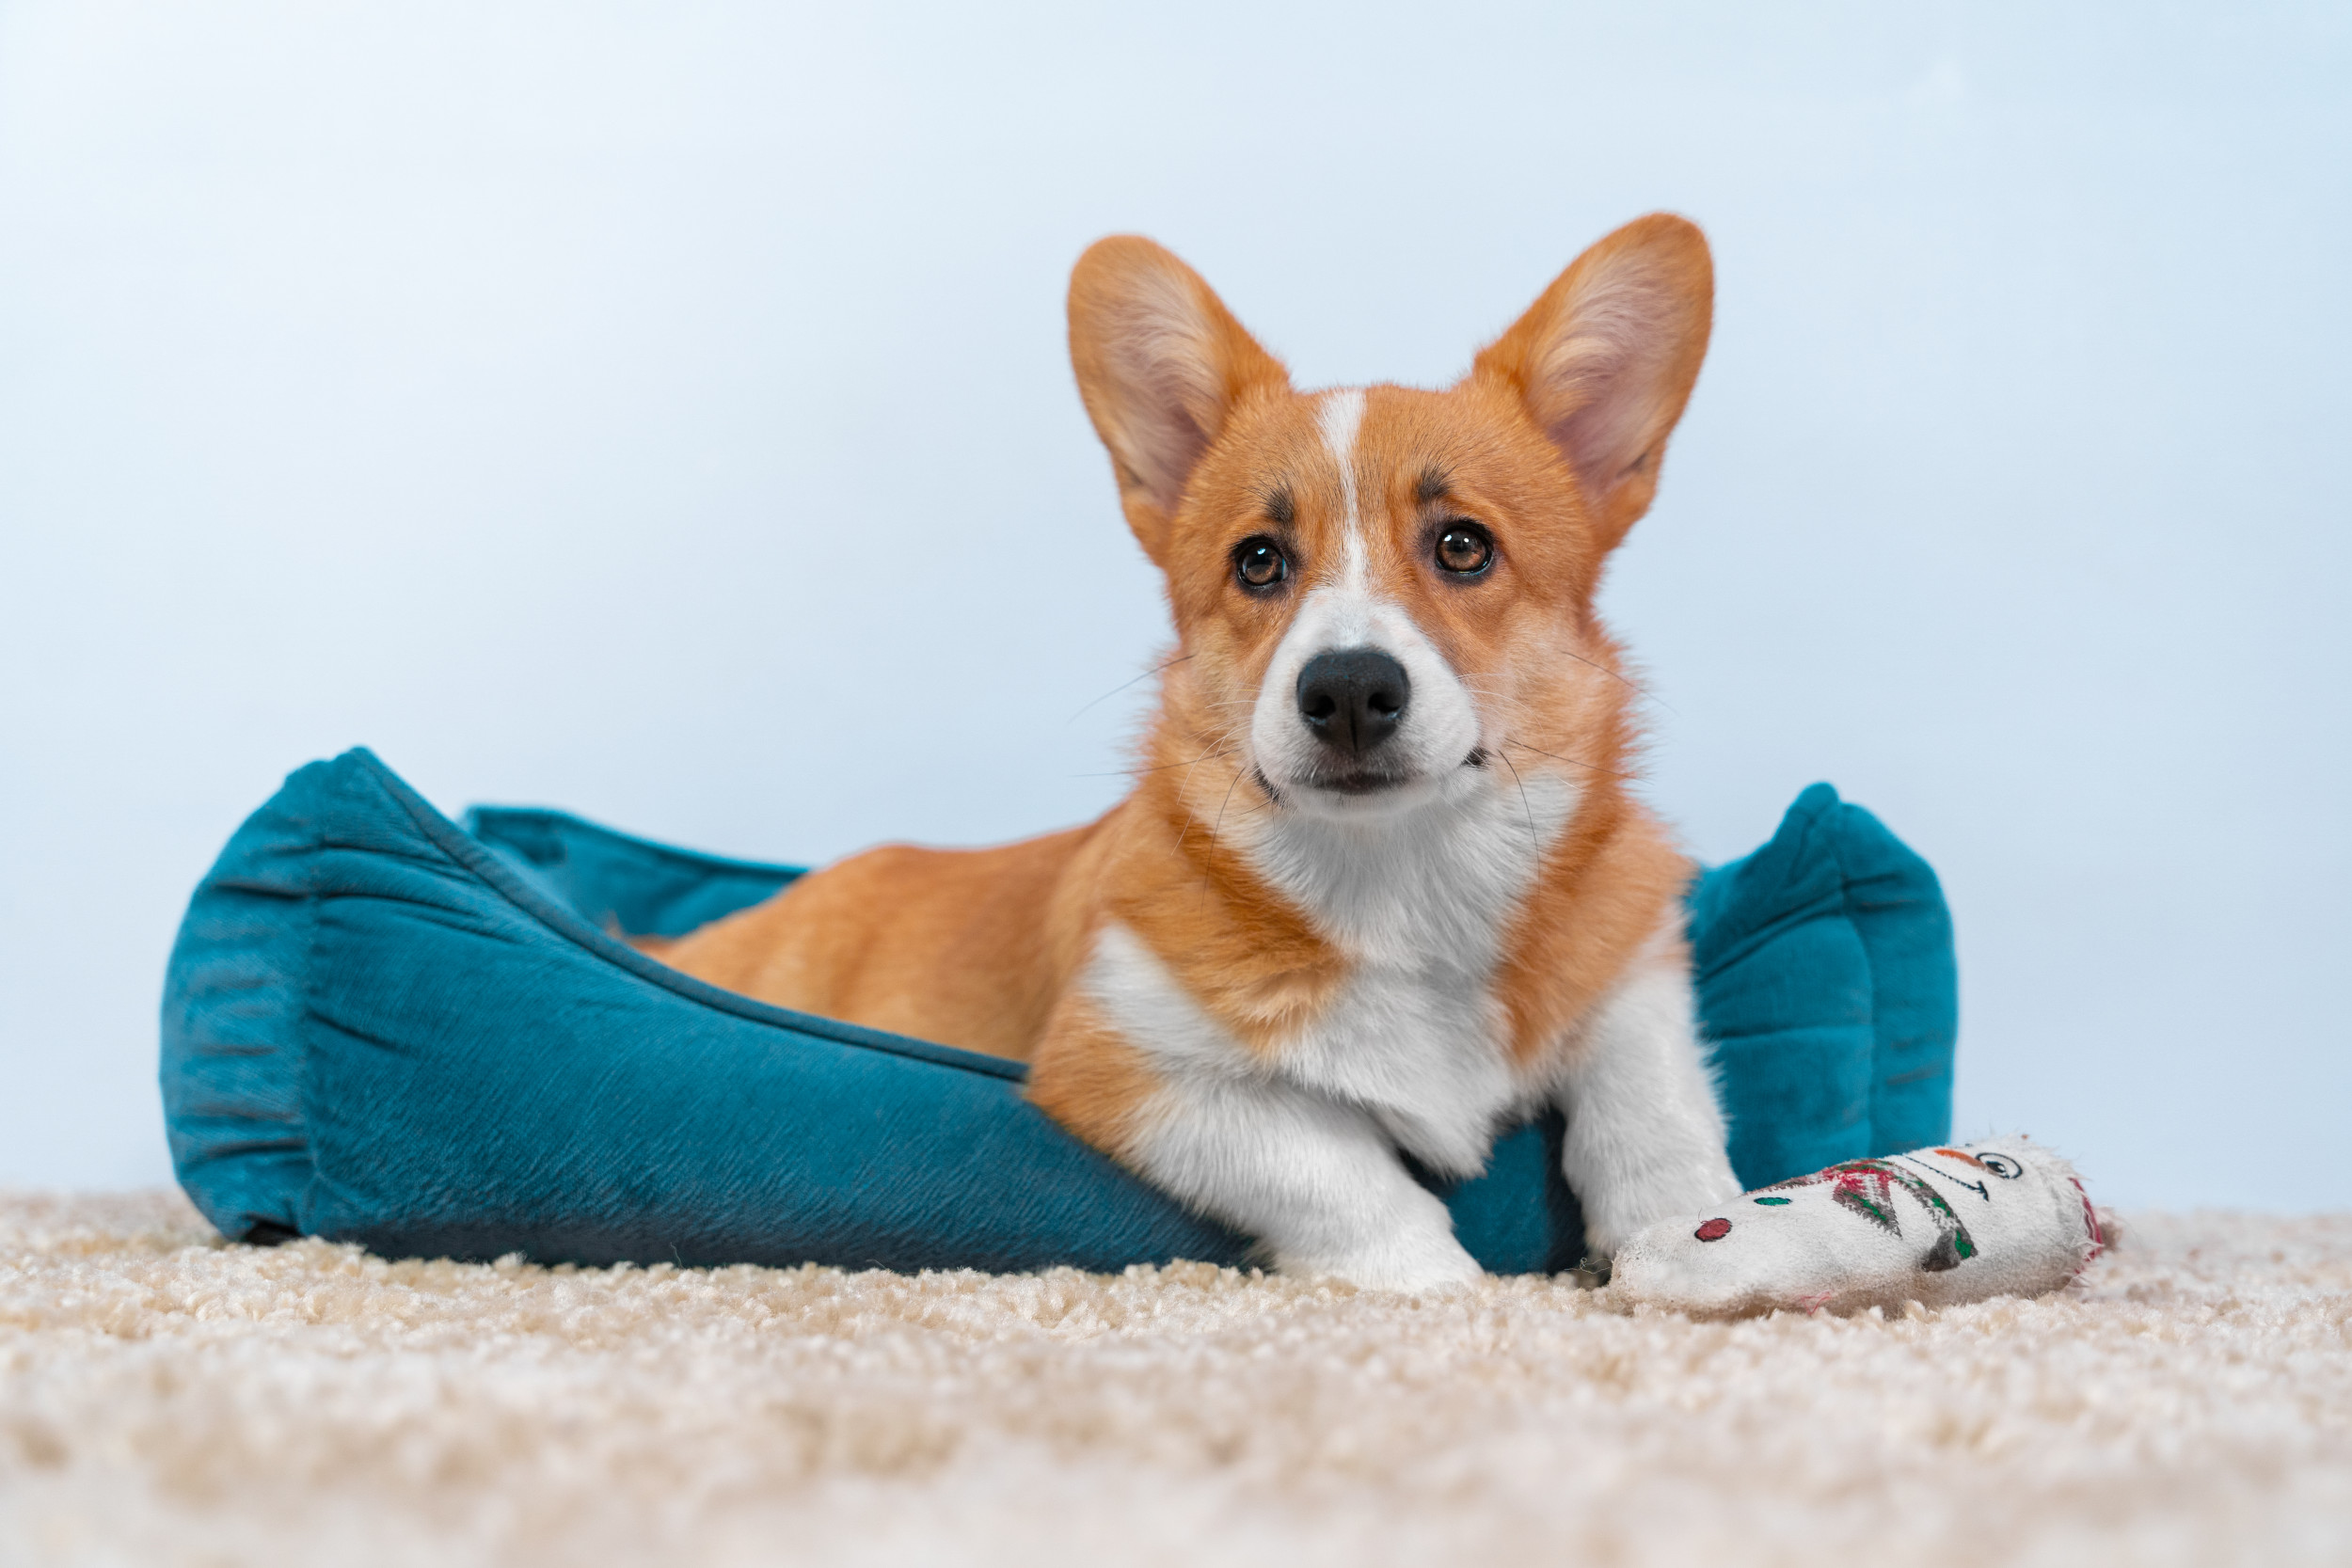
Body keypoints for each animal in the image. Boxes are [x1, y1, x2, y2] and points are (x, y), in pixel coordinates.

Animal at [663, 214, 1750, 1297]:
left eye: (1463, 546)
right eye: (1258, 560)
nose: (1347, 689)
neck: (1401, 878)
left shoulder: (1637, 964)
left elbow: (1652, 1098)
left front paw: (1690, 1232)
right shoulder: (1133, 1062)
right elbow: (1338, 1168)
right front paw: (1436, 1288)